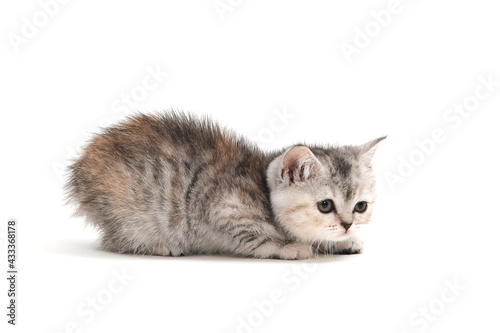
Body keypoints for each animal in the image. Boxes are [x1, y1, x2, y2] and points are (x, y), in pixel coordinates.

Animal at [66, 112, 386, 260]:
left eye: (360, 207)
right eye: (325, 205)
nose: (347, 224)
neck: (263, 193)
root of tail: (81, 168)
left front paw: (341, 242)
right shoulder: (221, 211)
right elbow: (258, 238)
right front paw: (292, 247)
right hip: (129, 213)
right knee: (116, 241)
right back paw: (161, 245)